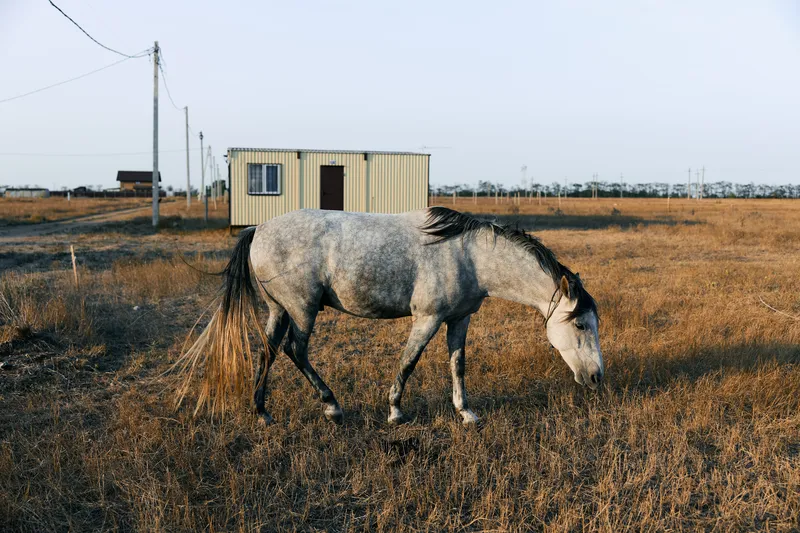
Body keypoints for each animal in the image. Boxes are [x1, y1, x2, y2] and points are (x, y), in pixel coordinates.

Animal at [174, 206, 603, 426]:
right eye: (581, 324)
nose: (597, 377)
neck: (469, 254)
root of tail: (258, 228)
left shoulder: (458, 319)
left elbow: (458, 364)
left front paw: (466, 412)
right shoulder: (427, 318)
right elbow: (408, 361)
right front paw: (396, 411)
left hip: (279, 309)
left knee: (268, 351)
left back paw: (262, 412)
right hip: (301, 309)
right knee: (296, 351)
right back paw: (332, 406)